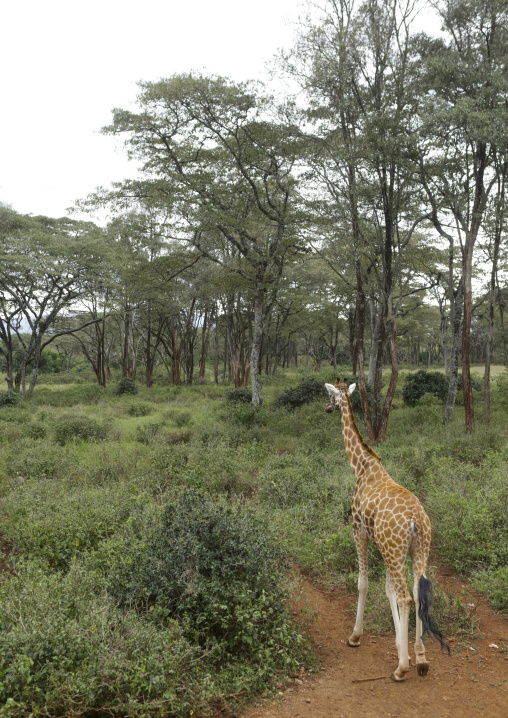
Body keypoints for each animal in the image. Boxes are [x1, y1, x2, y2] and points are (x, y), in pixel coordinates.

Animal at [325, 379, 449, 681]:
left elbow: (364, 583)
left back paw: (402, 668)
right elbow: (388, 589)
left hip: (395, 549)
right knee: (417, 592)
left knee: (406, 597)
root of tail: (417, 519)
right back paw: (421, 658)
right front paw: (401, 645)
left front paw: (356, 636)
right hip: (419, 549)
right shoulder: (382, 543)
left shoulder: (359, 532)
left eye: (330, 396)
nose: (326, 408)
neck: (361, 466)